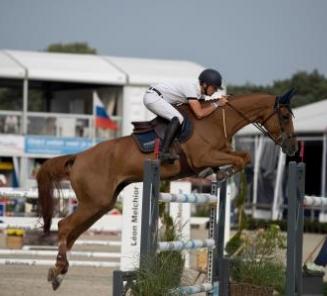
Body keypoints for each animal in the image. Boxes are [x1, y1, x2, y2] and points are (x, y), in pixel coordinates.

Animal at [37, 89, 298, 290]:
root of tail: (78, 157)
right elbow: (242, 158)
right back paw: (58, 271)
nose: (293, 148)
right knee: (65, 226)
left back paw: (58, 272)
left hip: (101, 205)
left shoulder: (217, 153)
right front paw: (221, 174)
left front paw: (217, 174)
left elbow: (243, 157)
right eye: (285, 116)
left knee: (72, 233)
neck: (215, 121)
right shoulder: (203, 156)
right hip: (95, 203)